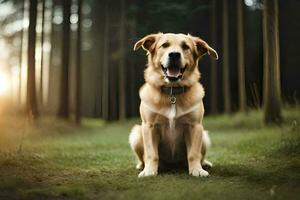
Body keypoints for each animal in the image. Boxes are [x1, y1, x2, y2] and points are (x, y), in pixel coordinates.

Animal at [129, 32, 218, 178]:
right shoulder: (149, 126)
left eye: (186, 46)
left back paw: (204, 163)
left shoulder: (195, 126)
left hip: (204, 136)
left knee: (200, 155)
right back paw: (142, 166)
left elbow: (193, 154)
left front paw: (197, 170)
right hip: (136, 134)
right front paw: (149, 171)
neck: (172, 92)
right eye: (164, 45)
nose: (174, 55)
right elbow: (151, 154)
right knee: (143, 157)